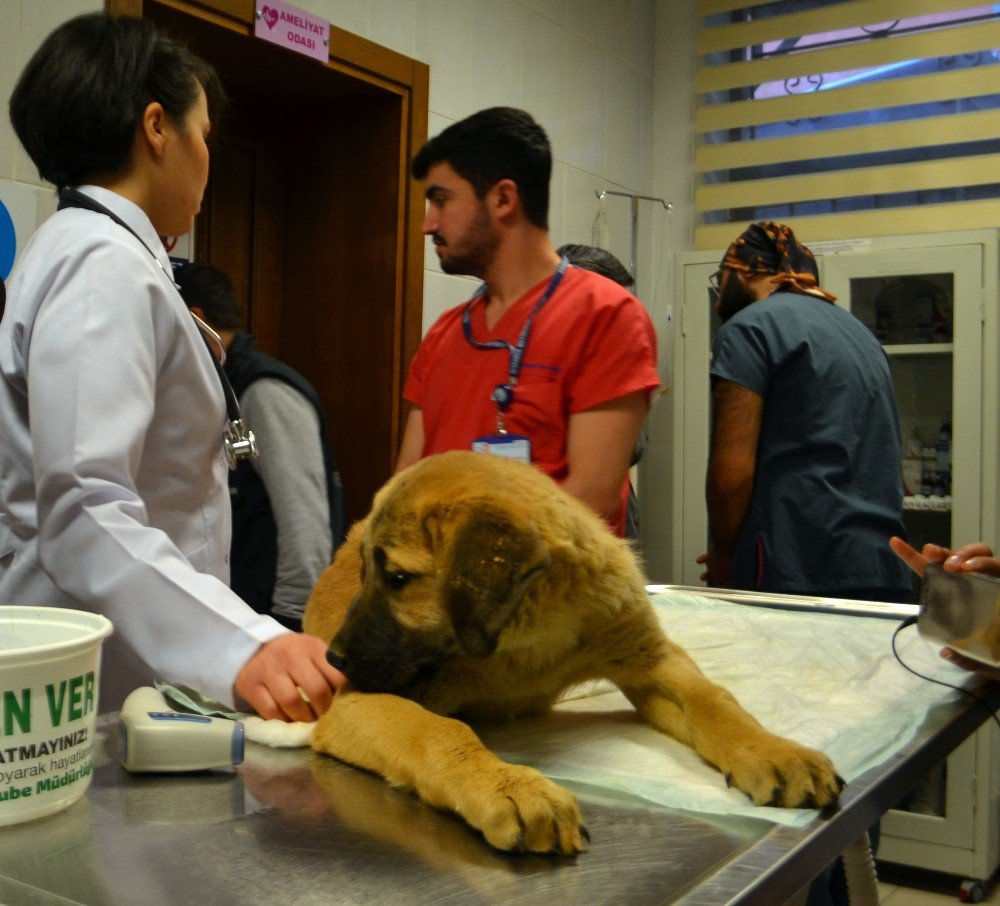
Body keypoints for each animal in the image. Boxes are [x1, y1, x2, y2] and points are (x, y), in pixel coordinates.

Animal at [306, 452, 844, 856]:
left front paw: (774, 752)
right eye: (367, 576)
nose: (333, 661)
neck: (526, 639)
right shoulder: (355, 702)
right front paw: (507, 785)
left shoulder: (649, 656)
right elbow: (437, 731)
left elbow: (715, 701)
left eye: (397, 579)